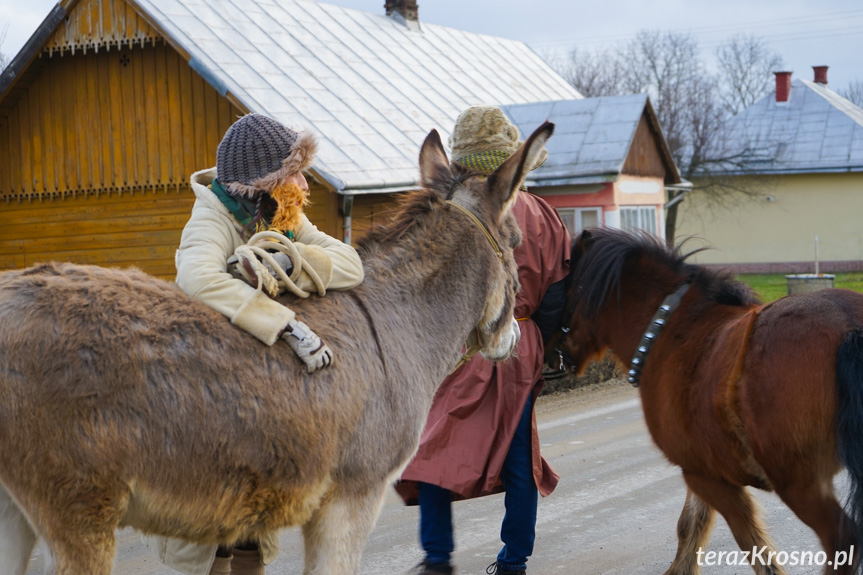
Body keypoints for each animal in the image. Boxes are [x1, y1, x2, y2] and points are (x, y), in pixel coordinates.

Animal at [0, 124, 552, 572]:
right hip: (77, 505)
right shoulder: (354, 495)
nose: (514, 339)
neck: (396, 322)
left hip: (17, 511)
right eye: (518, 241)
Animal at [552, 228, 863, 575]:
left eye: (564, 291)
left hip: (799, 484)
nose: (551, 355)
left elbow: (753, 547)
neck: (672, 329)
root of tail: (849, 324)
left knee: (841, 538)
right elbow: (691, 527)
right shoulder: (702, 471)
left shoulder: (708, 479)